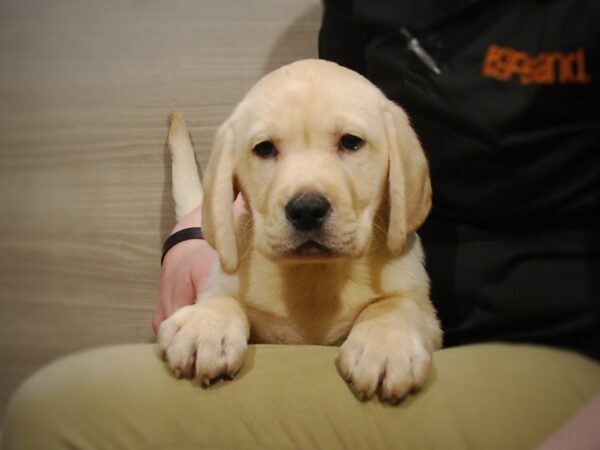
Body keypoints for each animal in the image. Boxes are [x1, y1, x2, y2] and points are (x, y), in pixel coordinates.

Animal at [158, 59, 440, 400]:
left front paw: (384, 344)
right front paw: (206, 325)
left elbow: (394, 304)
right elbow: (223, 298)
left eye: (351, 142)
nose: (307, 210)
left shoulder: (426, 313)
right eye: (264, 148)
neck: (313, 274)